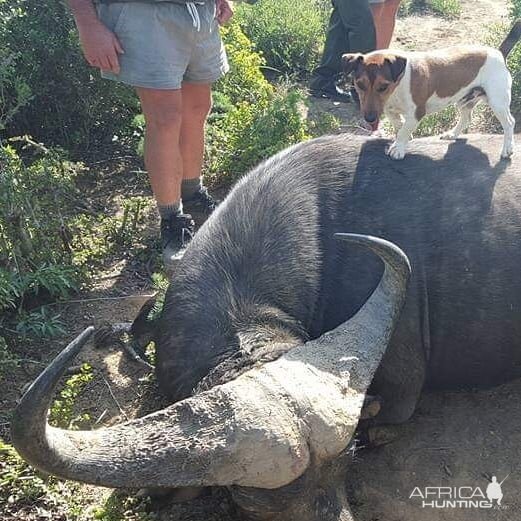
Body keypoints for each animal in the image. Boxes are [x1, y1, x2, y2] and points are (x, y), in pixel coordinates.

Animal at [342, 19, 520, 159]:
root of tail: (499, 52)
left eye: (383, 87)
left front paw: (398, 148)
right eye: (359, 85)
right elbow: (399, 125)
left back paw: (507, 149)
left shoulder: (416, 113)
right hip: (464, 100)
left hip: (497, 102)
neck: (397, 88)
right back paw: (452, 134)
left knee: (510, 123)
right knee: (466, 119)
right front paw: (403, 137)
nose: (370, 119)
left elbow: (404, 130)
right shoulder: (390, 110)